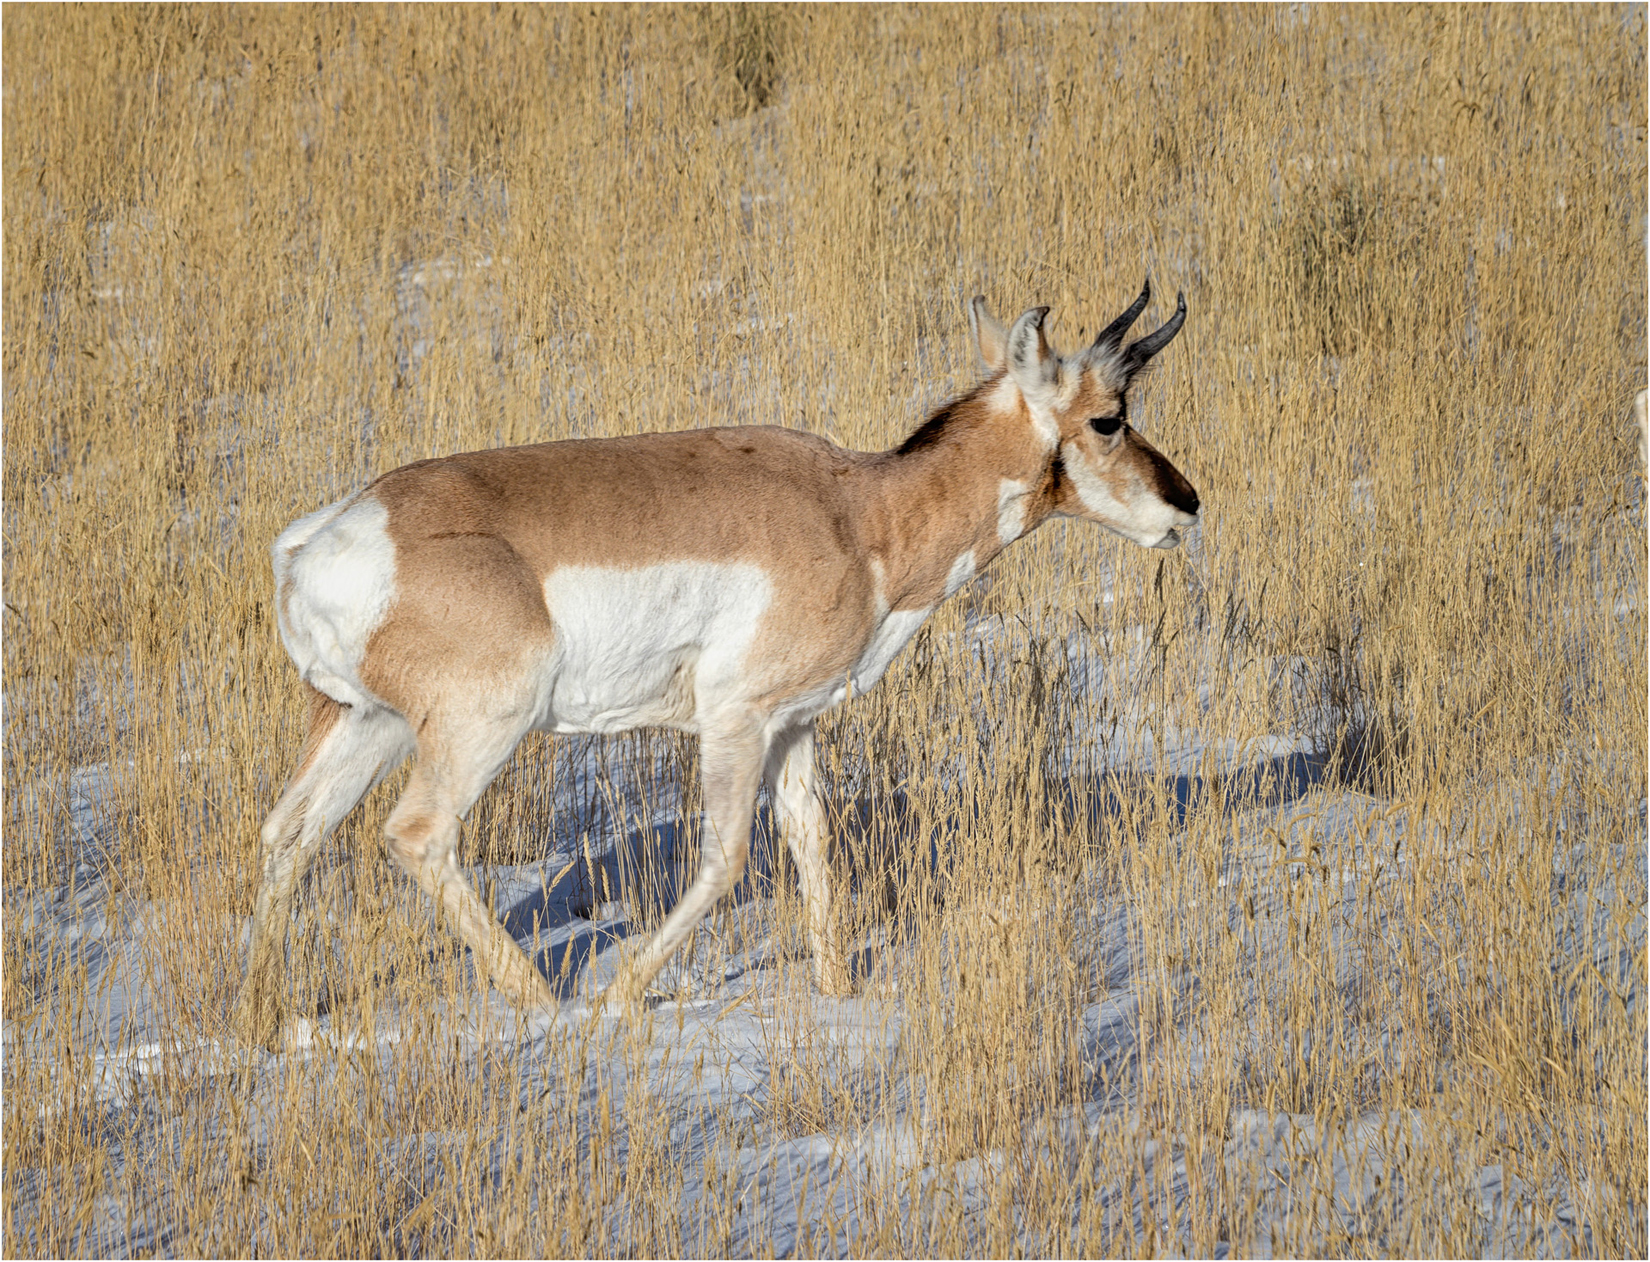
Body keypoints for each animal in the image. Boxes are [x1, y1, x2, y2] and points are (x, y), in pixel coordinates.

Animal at [235, 284, 1200, 1048]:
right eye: (1108, 418)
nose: (1187, 505)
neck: (860, 514)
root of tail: (323, 540)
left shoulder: (796, 724)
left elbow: (810, 840)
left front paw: (838, 994)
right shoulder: (735, 717)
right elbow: (726, 855)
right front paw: (620, 999)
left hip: (365, 724)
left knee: (288, 832)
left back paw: (262, 1021)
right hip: (476, 729)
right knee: (415, 835)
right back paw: (546, 1005)